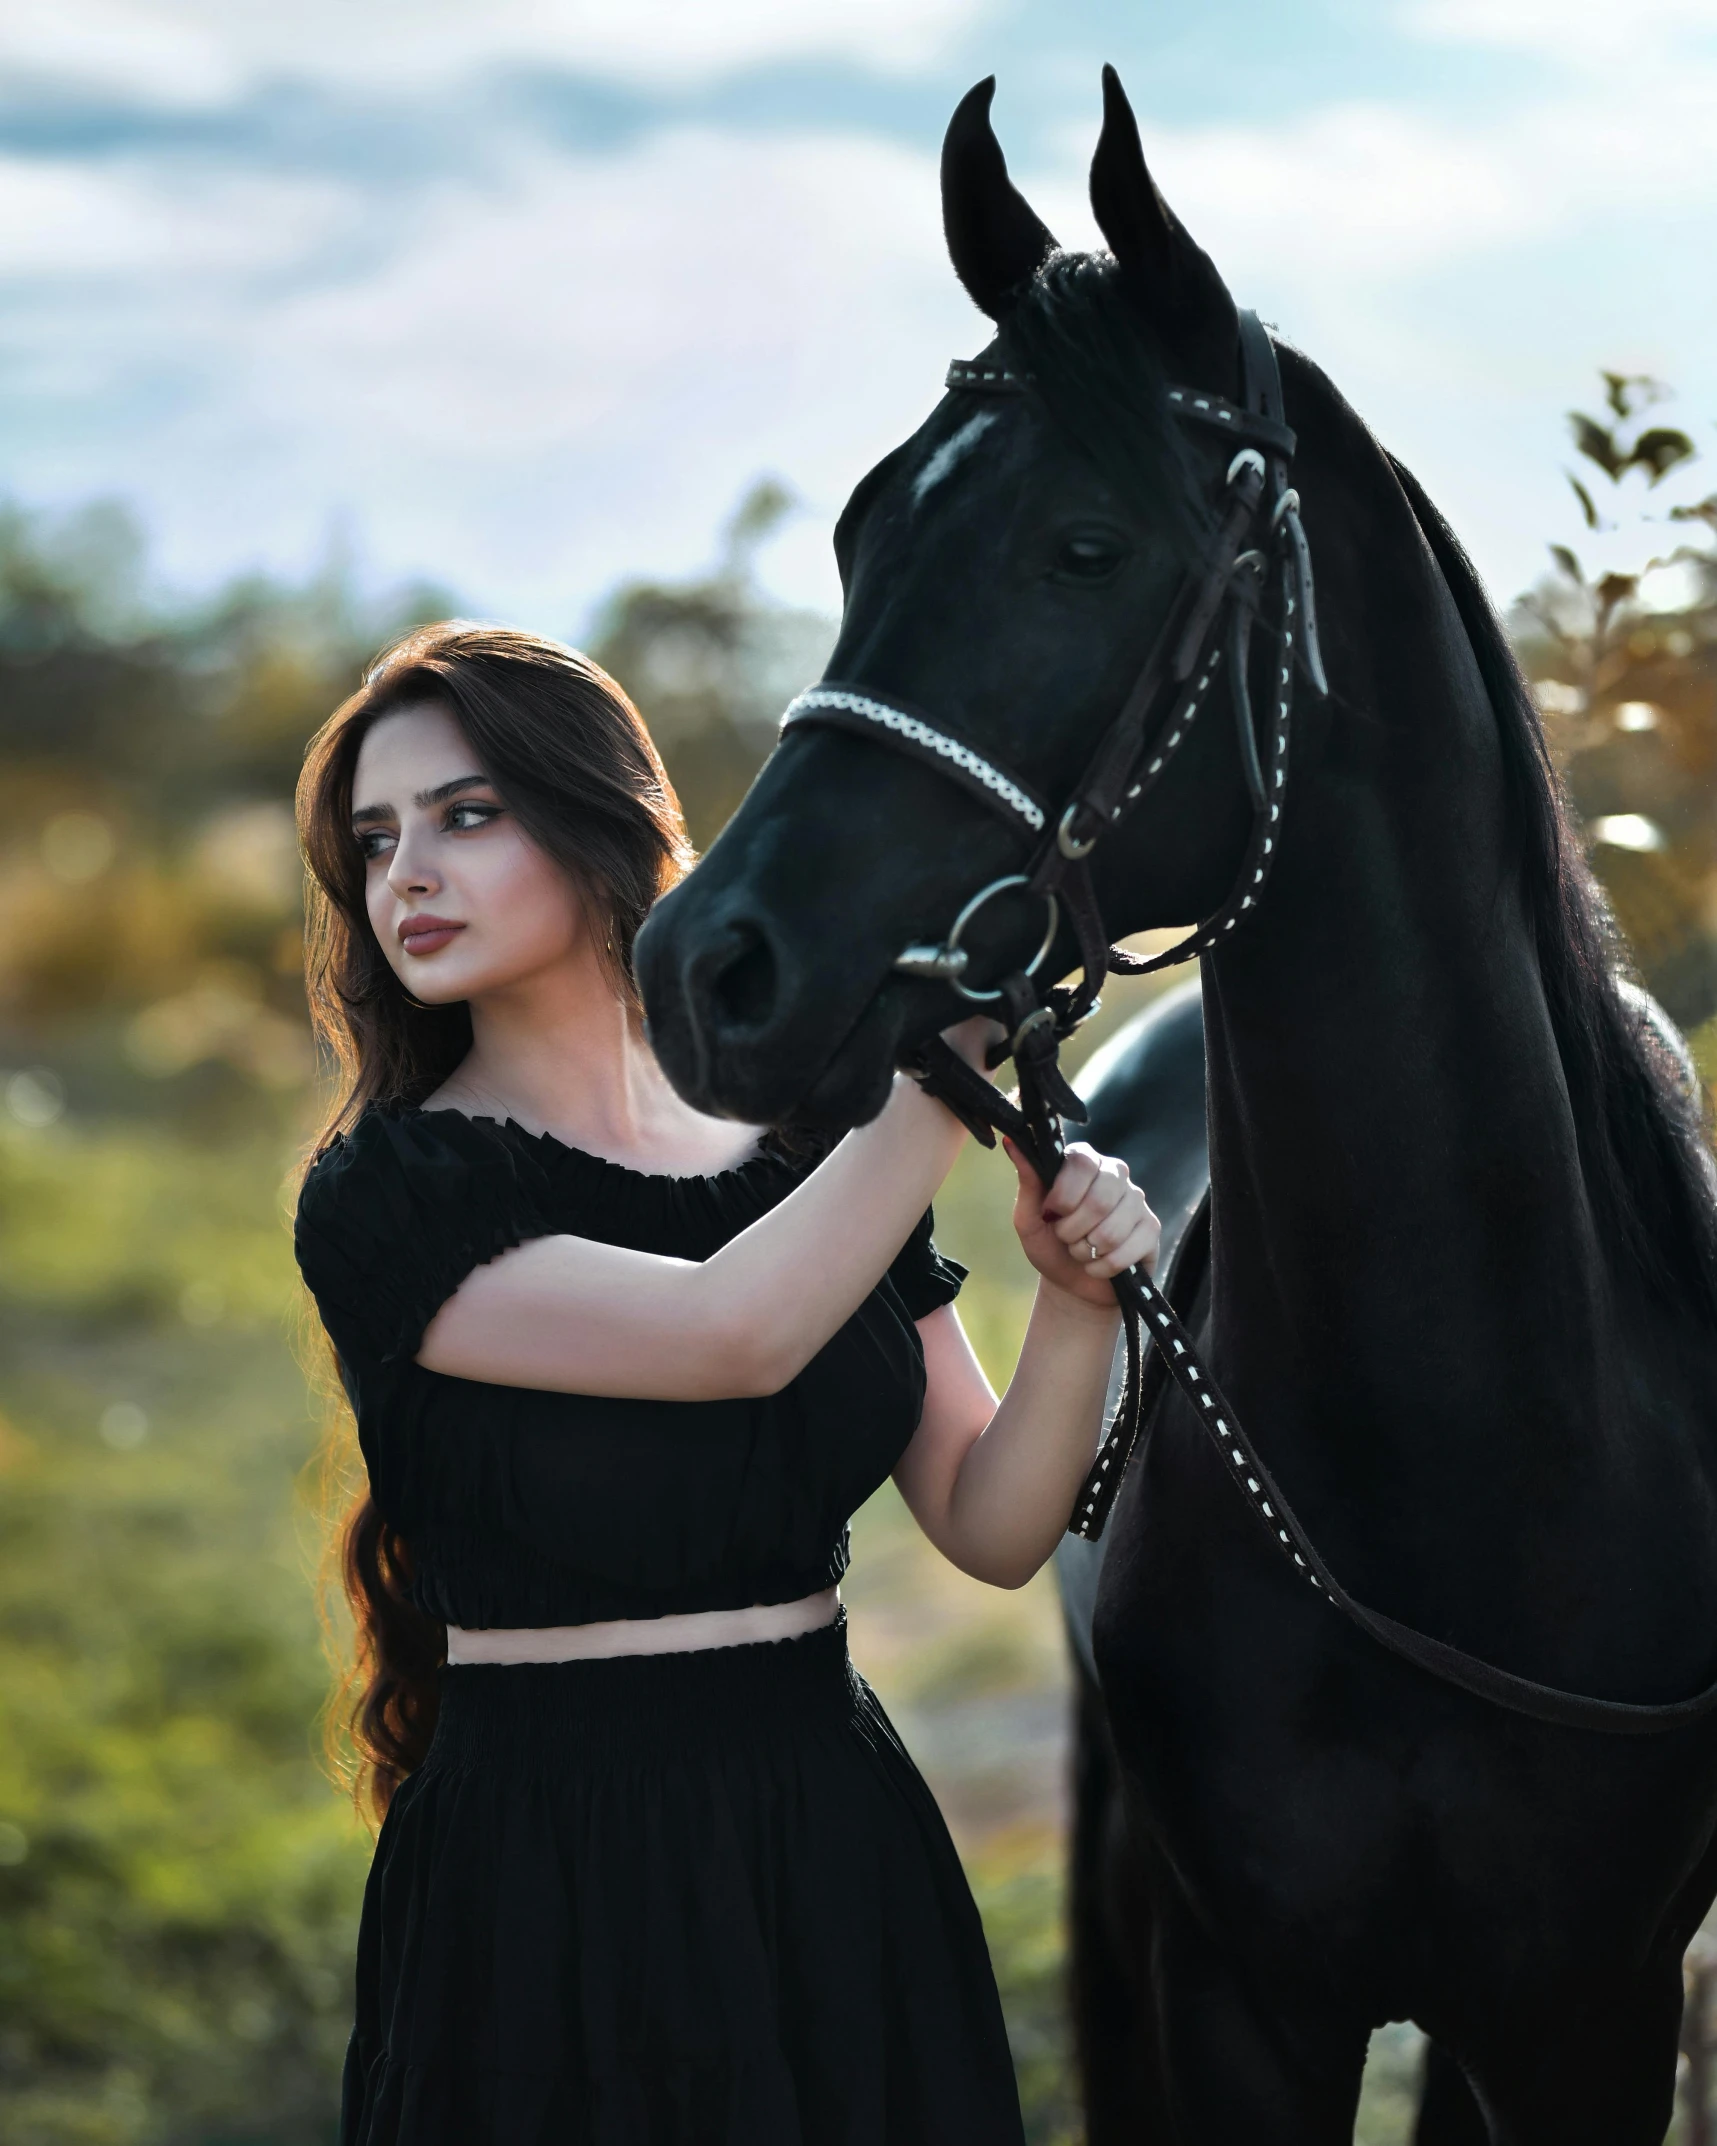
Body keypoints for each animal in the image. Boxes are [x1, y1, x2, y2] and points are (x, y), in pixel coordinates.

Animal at [635, 71, 1717, 2146]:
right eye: (856, 531)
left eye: (1080, 547)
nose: (699, 969)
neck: (1455, 1465)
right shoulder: (1239, 1997)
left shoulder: (1587, 2015)